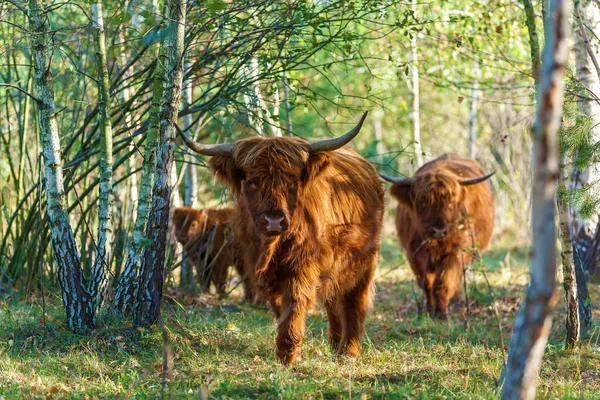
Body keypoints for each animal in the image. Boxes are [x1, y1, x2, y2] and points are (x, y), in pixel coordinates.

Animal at [179, 112, 384, 366]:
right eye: (252, 181)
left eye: (292, 180)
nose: (274, 220)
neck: (273, 246)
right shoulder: (262, 269)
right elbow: (279, 306)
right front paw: (287, 350)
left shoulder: (303, 266)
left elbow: (294, 303)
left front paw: (288, 353)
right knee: (333, 301)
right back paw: (335, 345)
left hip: (364, 261)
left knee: (354, 301)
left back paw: (349, 350)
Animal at [382, 153, 494, 318]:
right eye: (422, 201)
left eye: (451, 201)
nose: (438, 230)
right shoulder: (414, 252)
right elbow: (426, 282)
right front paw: (429, 310)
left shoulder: (457, 251)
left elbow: (444, 282)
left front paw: (442, 313)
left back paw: (456, 301)